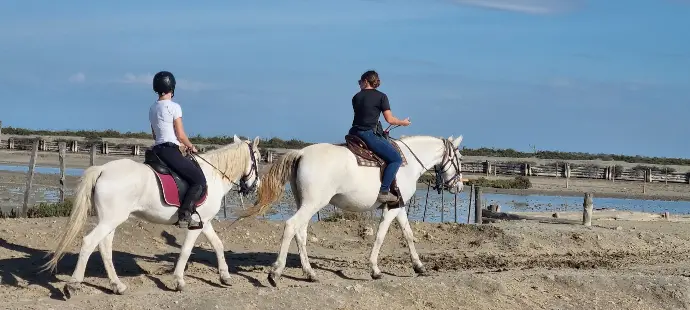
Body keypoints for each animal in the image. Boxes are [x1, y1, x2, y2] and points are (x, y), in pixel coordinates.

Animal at [43, 136, 262, 298]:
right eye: (258, 159)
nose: (254, 186)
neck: (213, 175)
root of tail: (103, 169)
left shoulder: (204, 222)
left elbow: (218, 245)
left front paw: (225, 277)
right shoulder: (197, 225)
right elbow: (186, 250)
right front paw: (178, 281)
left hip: (110, 220)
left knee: (104, 247)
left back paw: (117, 285)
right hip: (110, 220)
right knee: (89, 242)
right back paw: (73, 285)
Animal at [236, 134, 462, 286]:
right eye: (459, 158)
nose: (458, 186)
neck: (408, 162)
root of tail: (301, 153)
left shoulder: (398, 206)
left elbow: (408, 234)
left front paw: (419, 266)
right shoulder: (391, 209)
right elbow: (380, 236)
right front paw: (374, 269)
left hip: (305, 203)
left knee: (301, 233)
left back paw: (310, 273)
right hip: (313, 203)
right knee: (291, 226)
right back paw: (275, 273)